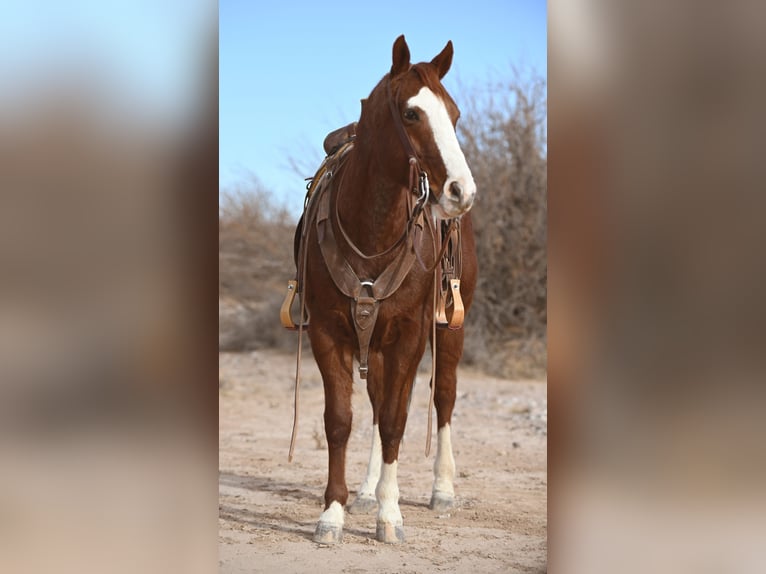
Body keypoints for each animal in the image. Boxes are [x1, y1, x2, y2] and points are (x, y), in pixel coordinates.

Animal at [292, 33, 476, 548]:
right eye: (411, 113)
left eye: (455, 114)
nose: (461, 191)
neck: (371, 233)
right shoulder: (329, 334)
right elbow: (341, 421)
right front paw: (333, 513)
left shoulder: (411, 337)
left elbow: (397, 421)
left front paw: (390, 516)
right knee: (375, 404)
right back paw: (367, 491)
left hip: (450, 329)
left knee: (443, 398)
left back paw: (441, 490)